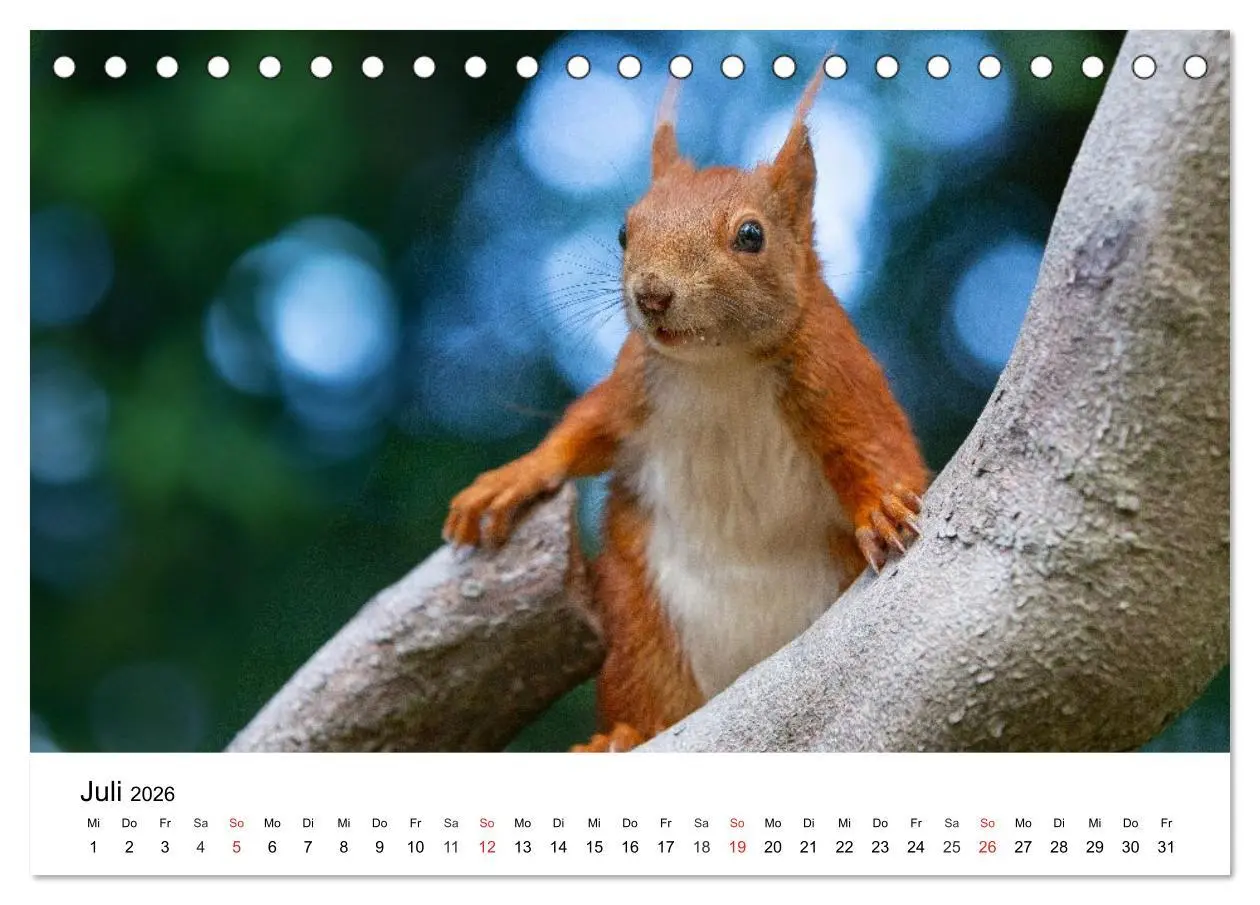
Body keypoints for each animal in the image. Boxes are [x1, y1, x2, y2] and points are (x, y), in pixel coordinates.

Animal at [444, 64, 928, 752]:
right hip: (638, 626)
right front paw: (513, 477)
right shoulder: (633, 383)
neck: (718, 366)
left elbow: (874, 449)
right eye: (624, 230)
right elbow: (582, 432)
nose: (651, 295)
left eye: (751, 235)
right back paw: (618, 737)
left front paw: (883, 508)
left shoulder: (838, 377)